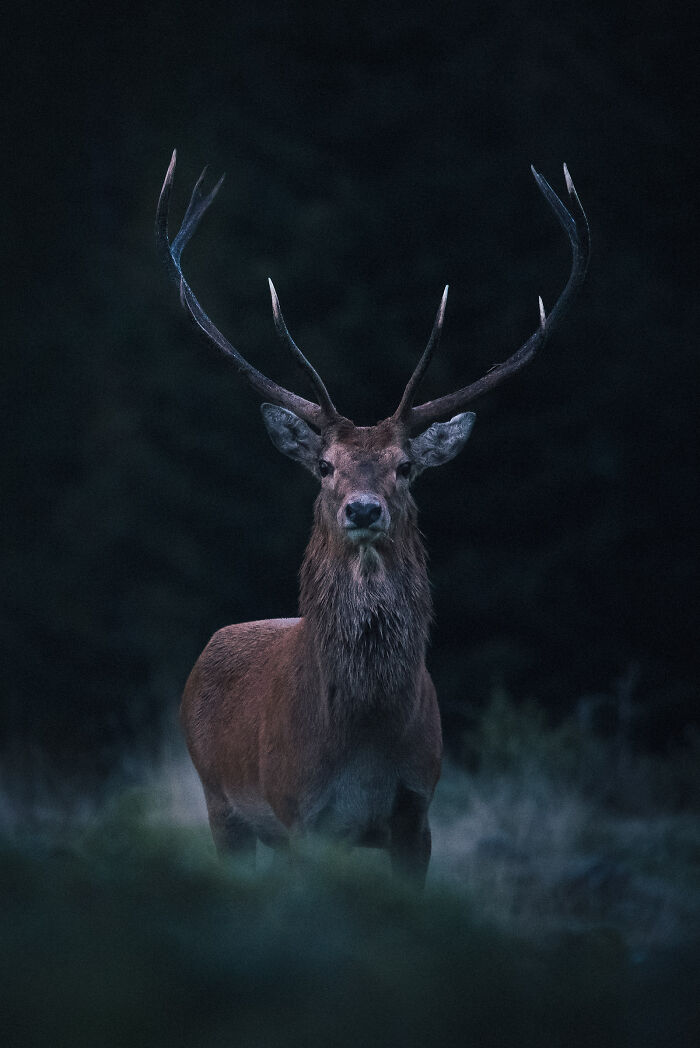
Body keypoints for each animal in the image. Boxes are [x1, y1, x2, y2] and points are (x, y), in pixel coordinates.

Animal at [156, 151, 589, 884]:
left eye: (406, 466)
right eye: (325, 466)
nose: (363, 508)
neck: (359, 740)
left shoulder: (418, 809)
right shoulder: (299, 812)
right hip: (222, 804)